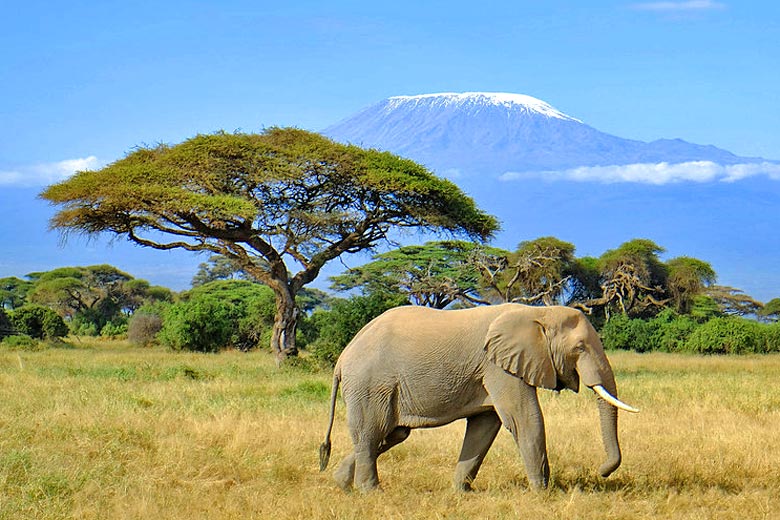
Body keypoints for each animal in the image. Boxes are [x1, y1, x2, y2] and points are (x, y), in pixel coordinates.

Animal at [318, 300, 640, 492]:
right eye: (580, 348)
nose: (601, 472)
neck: (537, 312)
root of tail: (342, 358)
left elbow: (485, 427)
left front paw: (460, 492)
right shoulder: (498, 366)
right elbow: (524, 420)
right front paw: (545, 493)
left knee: (391, 434)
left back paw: (341, 484)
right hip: (370, 385)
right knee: (372, 432)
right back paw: (371, 492)